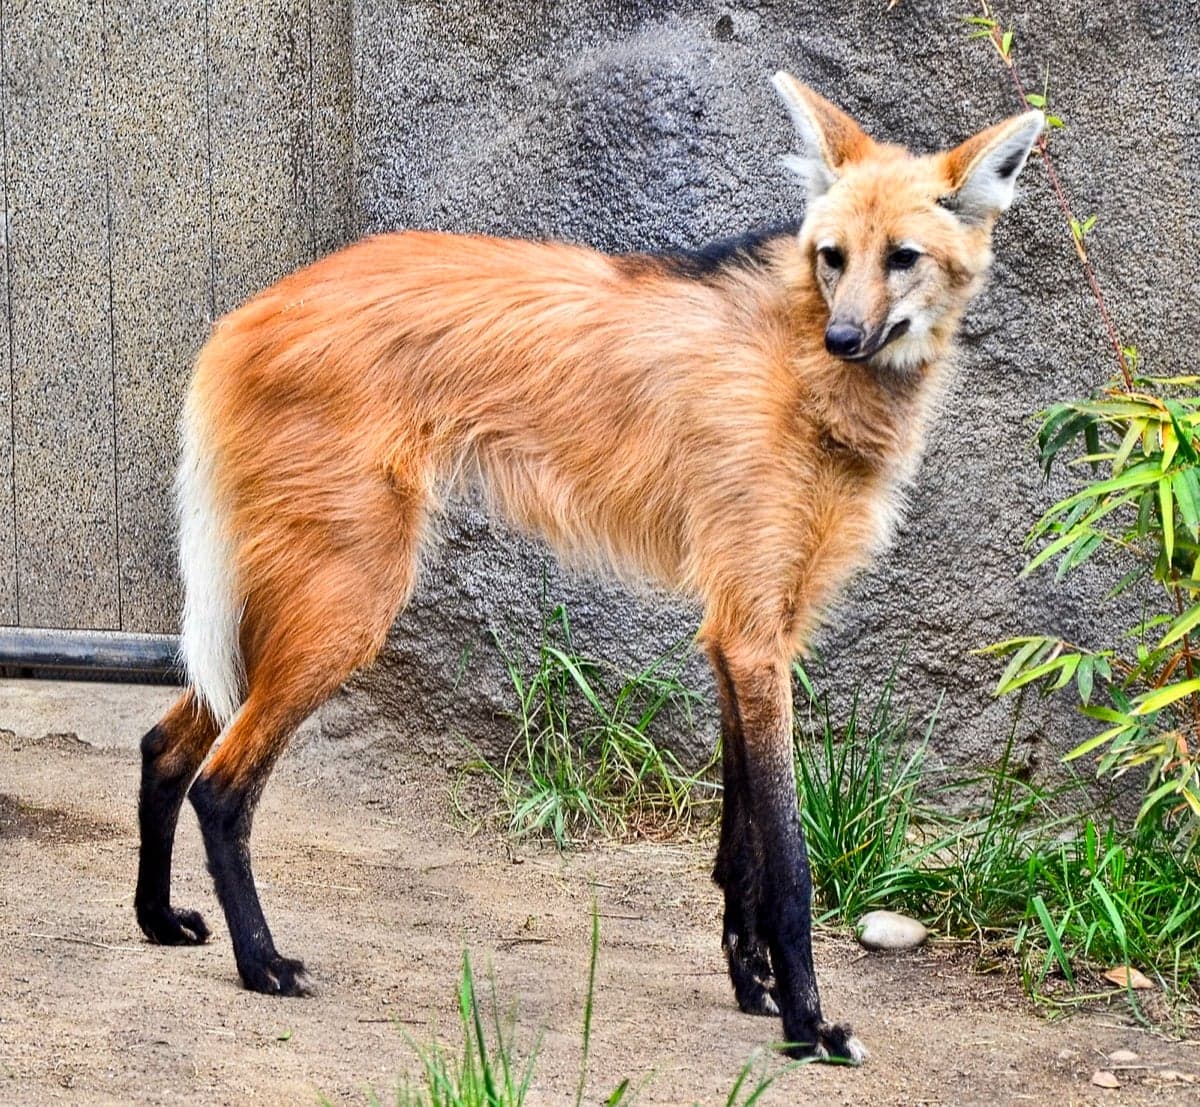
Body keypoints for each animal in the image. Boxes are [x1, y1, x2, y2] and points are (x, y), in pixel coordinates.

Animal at [133, 72, 1043, 1063]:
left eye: (903, 257)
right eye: (833, 257)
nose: (846, 335)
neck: (806, 369)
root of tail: (239, 316)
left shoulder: (744, 632)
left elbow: (741, 845)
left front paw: (753, 986)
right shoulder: (754, 633)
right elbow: (789, 859)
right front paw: (808, 1023)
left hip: (288, 594)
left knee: (166, 744)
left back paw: (158, 918)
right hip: (351, 598)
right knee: (223, 785)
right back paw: (263, 963)